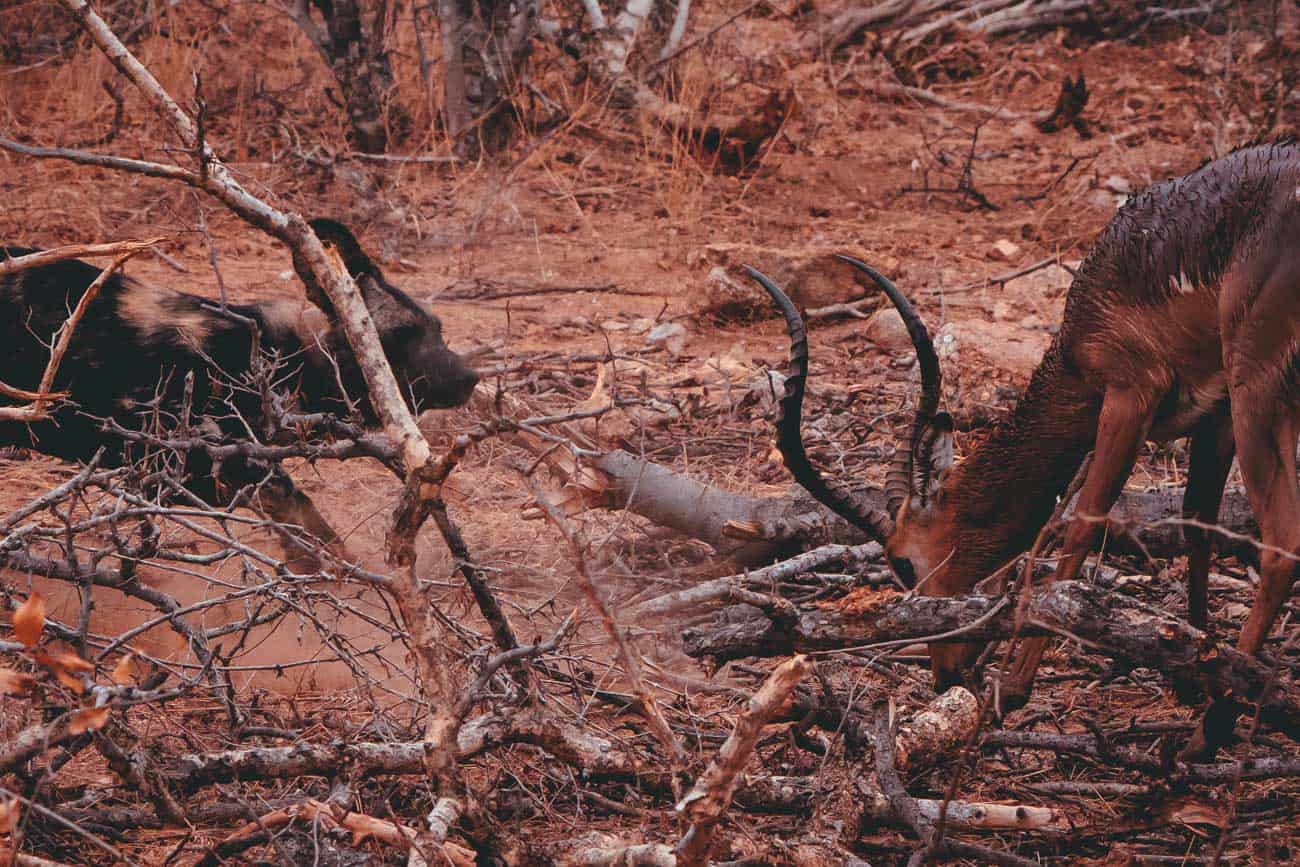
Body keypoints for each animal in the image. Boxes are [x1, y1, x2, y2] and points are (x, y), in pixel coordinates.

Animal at [1, 218, 479, 563]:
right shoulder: (205, 465)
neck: (283, 355)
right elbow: (309, 523)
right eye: (402, 336)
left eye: (437, 330)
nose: (471, 376)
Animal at [749, 142, 1300, 713]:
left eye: (903, 563)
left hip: (1257, 388)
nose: (946, 676)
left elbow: (1082, 525)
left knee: (1283, 542)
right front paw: (1192, 668)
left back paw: (1219, 716)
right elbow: (1197, 523)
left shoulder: (1129, 396)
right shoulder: (1214, 415)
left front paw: (1014, 686)